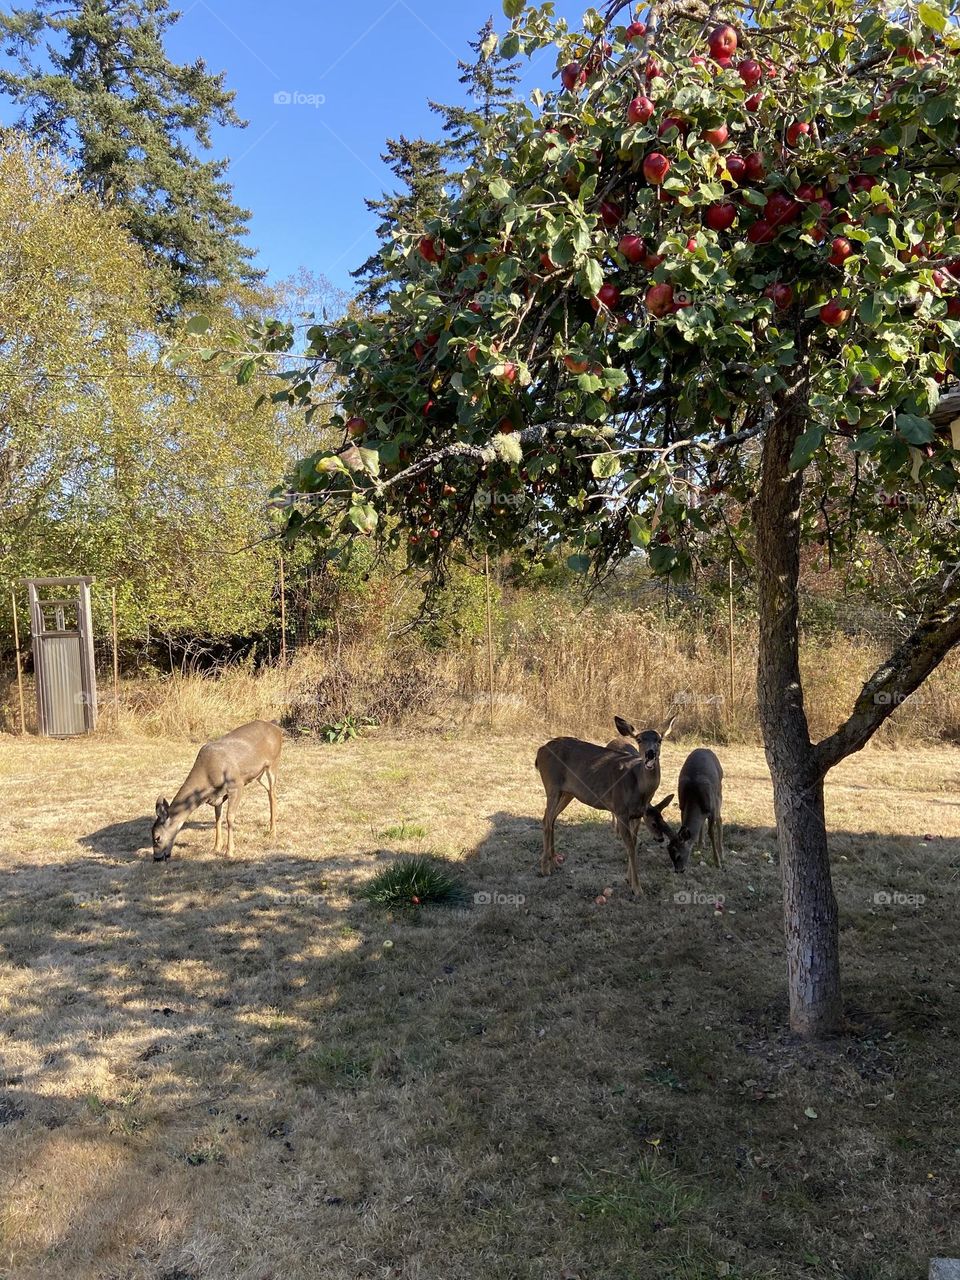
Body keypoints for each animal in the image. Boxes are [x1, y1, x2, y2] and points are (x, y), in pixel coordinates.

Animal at [151, 720, 282, 862]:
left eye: (157, 837)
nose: (156, 858)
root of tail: (276, 727)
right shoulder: (217, 796)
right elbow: (217, 818)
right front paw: (216, 847)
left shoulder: (236, 785)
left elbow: (229, 817)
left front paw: (229, 851)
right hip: (259, 774)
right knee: (270, 792)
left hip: (273, 763)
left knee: (273, 795)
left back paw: (272, 832)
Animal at [535, 714, 678, 895]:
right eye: (638, 739)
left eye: (659, 740)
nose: (650, 754)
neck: (640, 790)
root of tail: (540, 751)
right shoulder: (621, 810)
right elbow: (630, 847)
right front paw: (637, 888)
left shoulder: (637, 815)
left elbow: (634, 844)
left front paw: (629, 879)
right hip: (551, 785)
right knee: (547, 820)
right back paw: (545, 868)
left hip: (568, 792)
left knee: (550, 818)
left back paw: (554, 863)